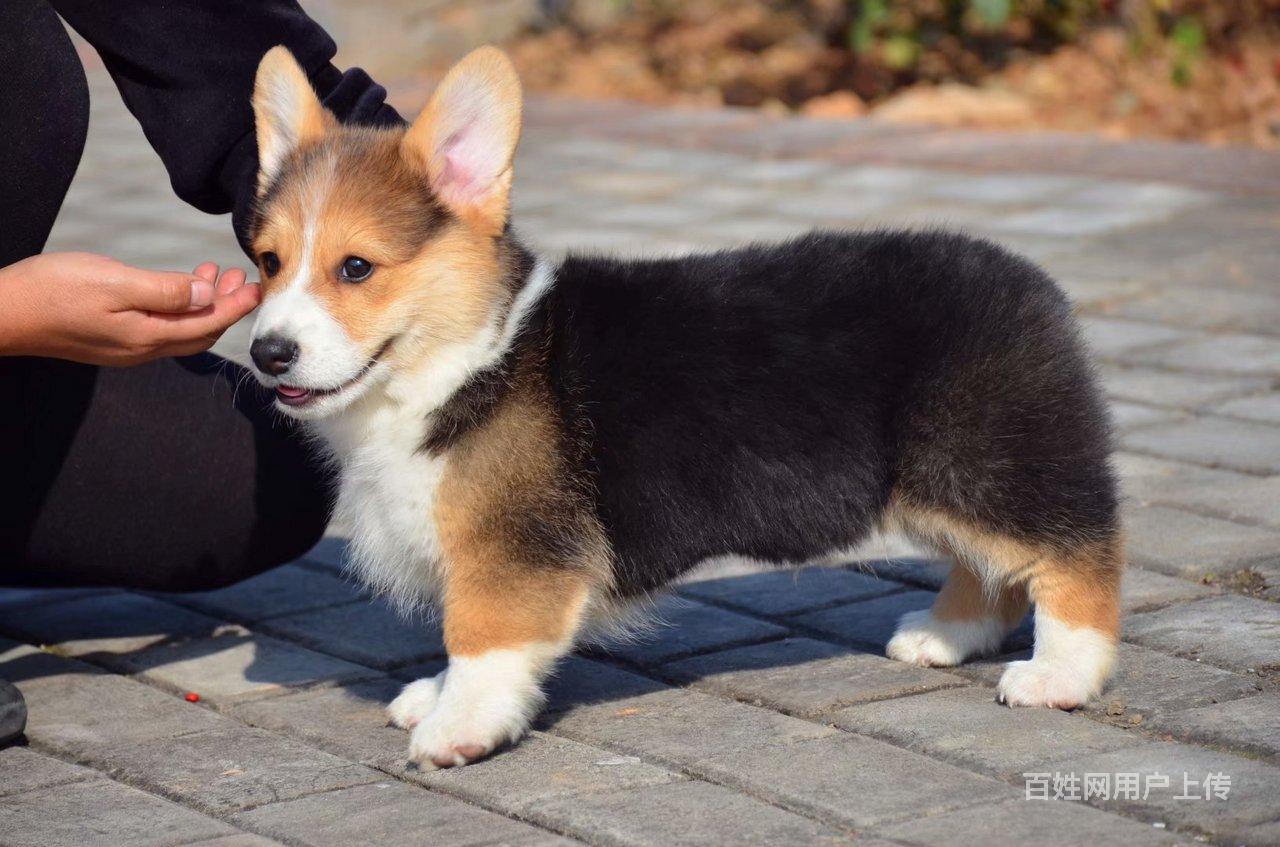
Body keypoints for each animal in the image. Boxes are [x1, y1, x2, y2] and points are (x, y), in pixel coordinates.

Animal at [241, 46, 1121, 767]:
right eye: (269, 262)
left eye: (357, 268)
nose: (267, 353)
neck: (469, 357)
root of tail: (1034, 284)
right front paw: (436, 693)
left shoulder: (513, 552)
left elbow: (481, 639)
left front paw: (458, 725)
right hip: (934, 482)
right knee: (998, 568)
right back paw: (946, 635)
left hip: (980, 465)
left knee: (1075, 556)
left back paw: (1060, 673)